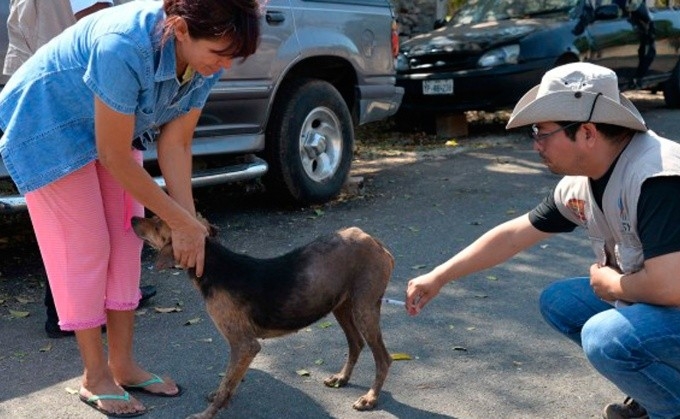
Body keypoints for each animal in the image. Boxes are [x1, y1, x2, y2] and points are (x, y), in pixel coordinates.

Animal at [131, 217, 394, 419]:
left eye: (157, 223)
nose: (133, 218)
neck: (214, 264)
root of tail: (373, 241)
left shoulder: (245, 345)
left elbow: (227, 383)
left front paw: (206, 414)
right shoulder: (243, 349)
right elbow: (230, 382)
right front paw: (220, 398)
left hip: (364, 308)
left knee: (383, 358)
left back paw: (370, 398)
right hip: (341, 306)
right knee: (356, 344)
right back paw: (342, 378)